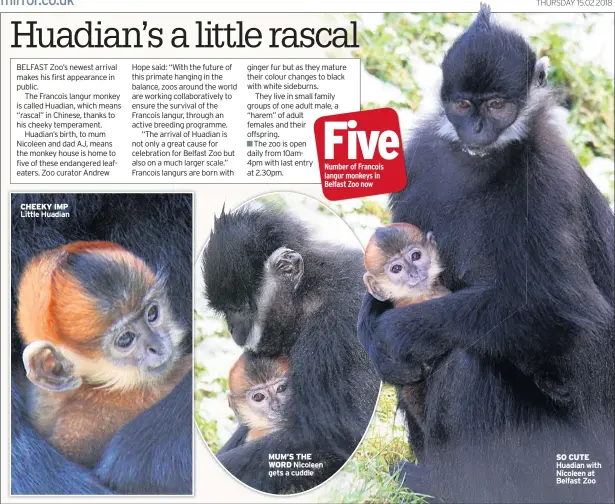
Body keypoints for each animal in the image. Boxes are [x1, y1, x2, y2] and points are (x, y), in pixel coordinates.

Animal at [205, 204, 382, 492]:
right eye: (227, 312)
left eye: (239, 308)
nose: (232, 327)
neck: (308, 292)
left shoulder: (338, 322)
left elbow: (326, 437)